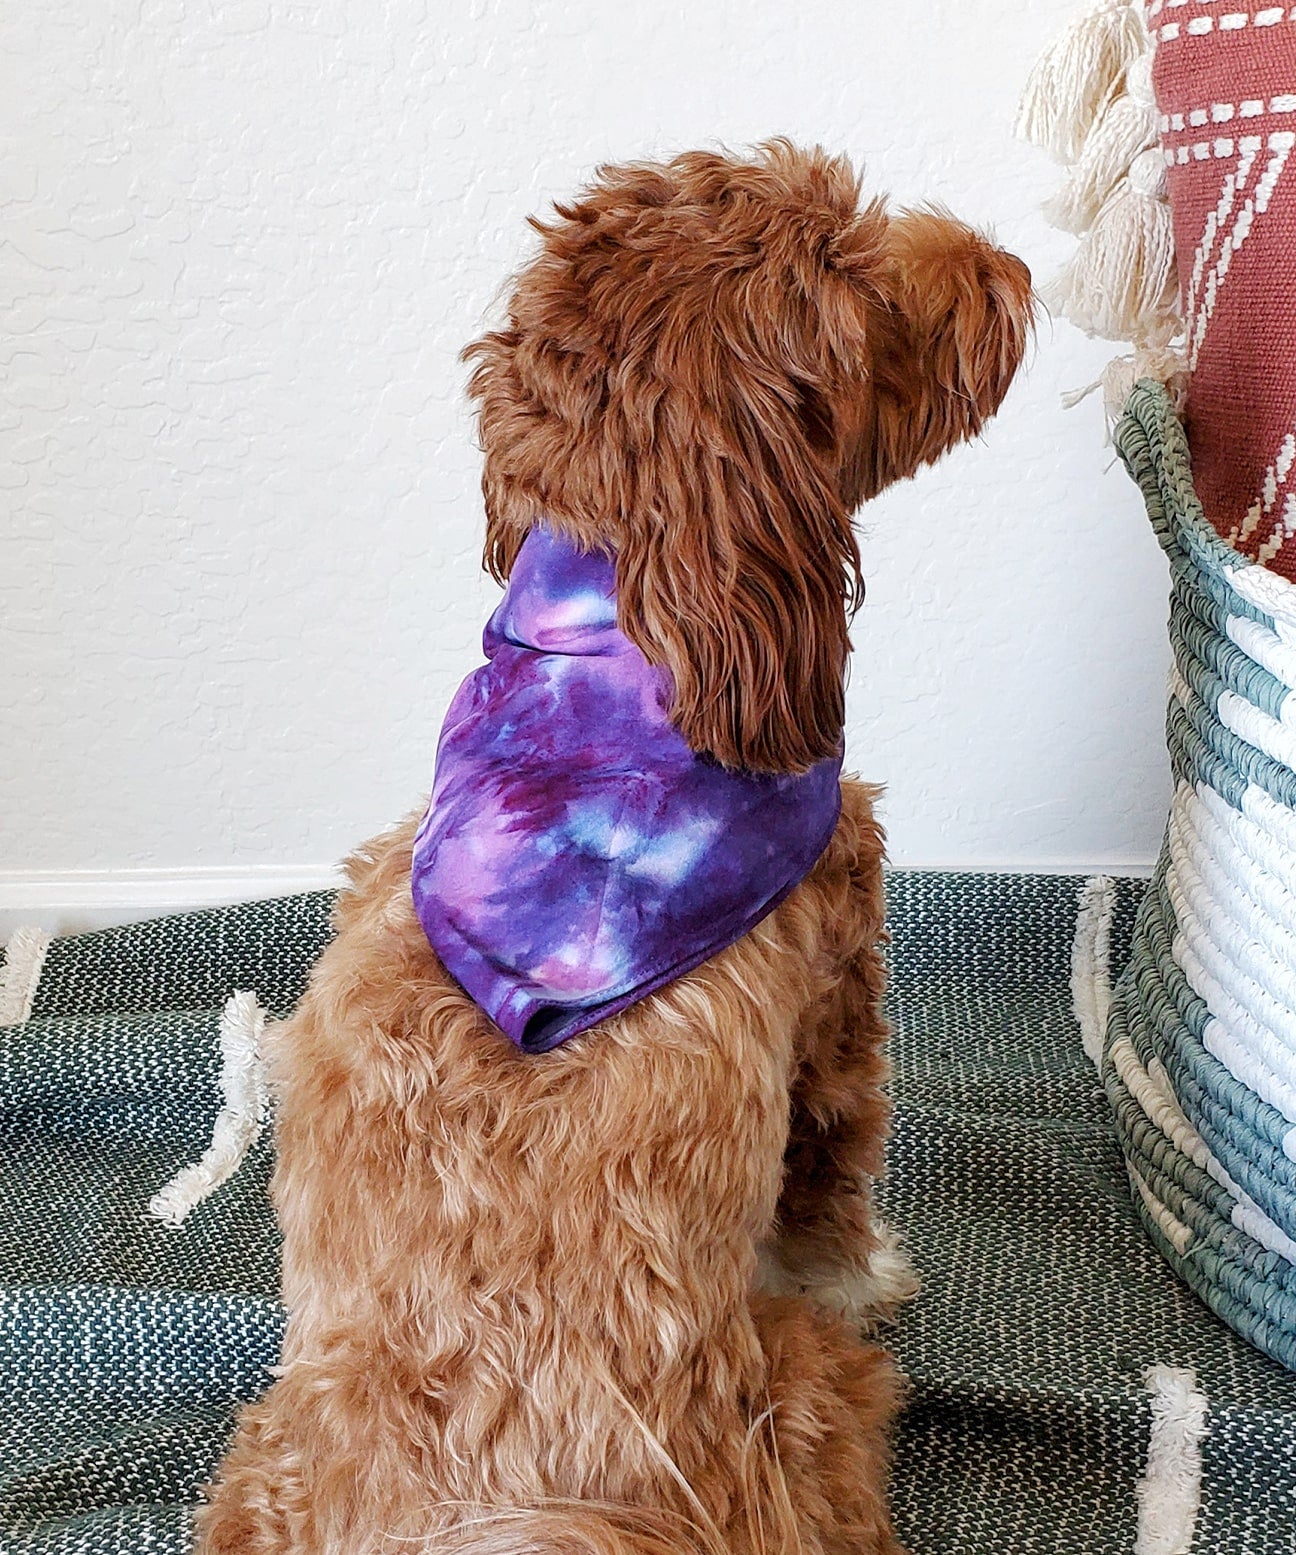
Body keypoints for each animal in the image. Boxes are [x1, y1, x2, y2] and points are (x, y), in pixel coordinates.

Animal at [199, 143, 1033, 1555]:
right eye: (858, 272)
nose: (1010, 264)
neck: (625, 636)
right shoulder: (838, 994)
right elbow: (831, 1174)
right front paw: (866, 1270)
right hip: (814, 1401)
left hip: (264, 1454)